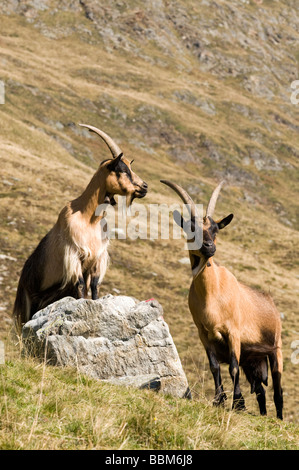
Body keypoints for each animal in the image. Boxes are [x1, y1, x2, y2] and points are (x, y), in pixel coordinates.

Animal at [13, 125, 149, 330]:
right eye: (122, 169)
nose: (144, 187)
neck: (89, 219)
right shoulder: (73, 254)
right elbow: (81, 285)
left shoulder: (98, 258)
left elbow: (94, 287)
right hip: (27, 303)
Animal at [162, 179, 284, 418]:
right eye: (191, 228)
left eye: (216, 229)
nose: (209, 247)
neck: (213, 295)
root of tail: (271, 303)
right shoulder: (204, 334)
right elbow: (214, 367)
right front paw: (219, 399)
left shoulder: (233, 332)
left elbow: (232, 367)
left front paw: (238, 403)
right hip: (253, 361)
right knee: (260, 391)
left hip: (276, 349)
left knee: (277, 390)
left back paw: (279, 418)